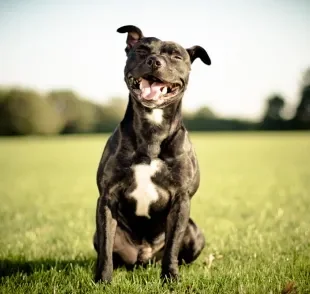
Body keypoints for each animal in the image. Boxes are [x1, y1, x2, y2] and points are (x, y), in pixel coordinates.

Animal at [93, 24, 212, 282]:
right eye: (141, 50)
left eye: (176, 56)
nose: (154, 61)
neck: (152, 130)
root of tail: (143, 257)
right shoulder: (107, 198)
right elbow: (106, 247)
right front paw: (103, 280)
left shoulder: (181, 200)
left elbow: (172, 246)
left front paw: (170, 277)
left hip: (195, 232)